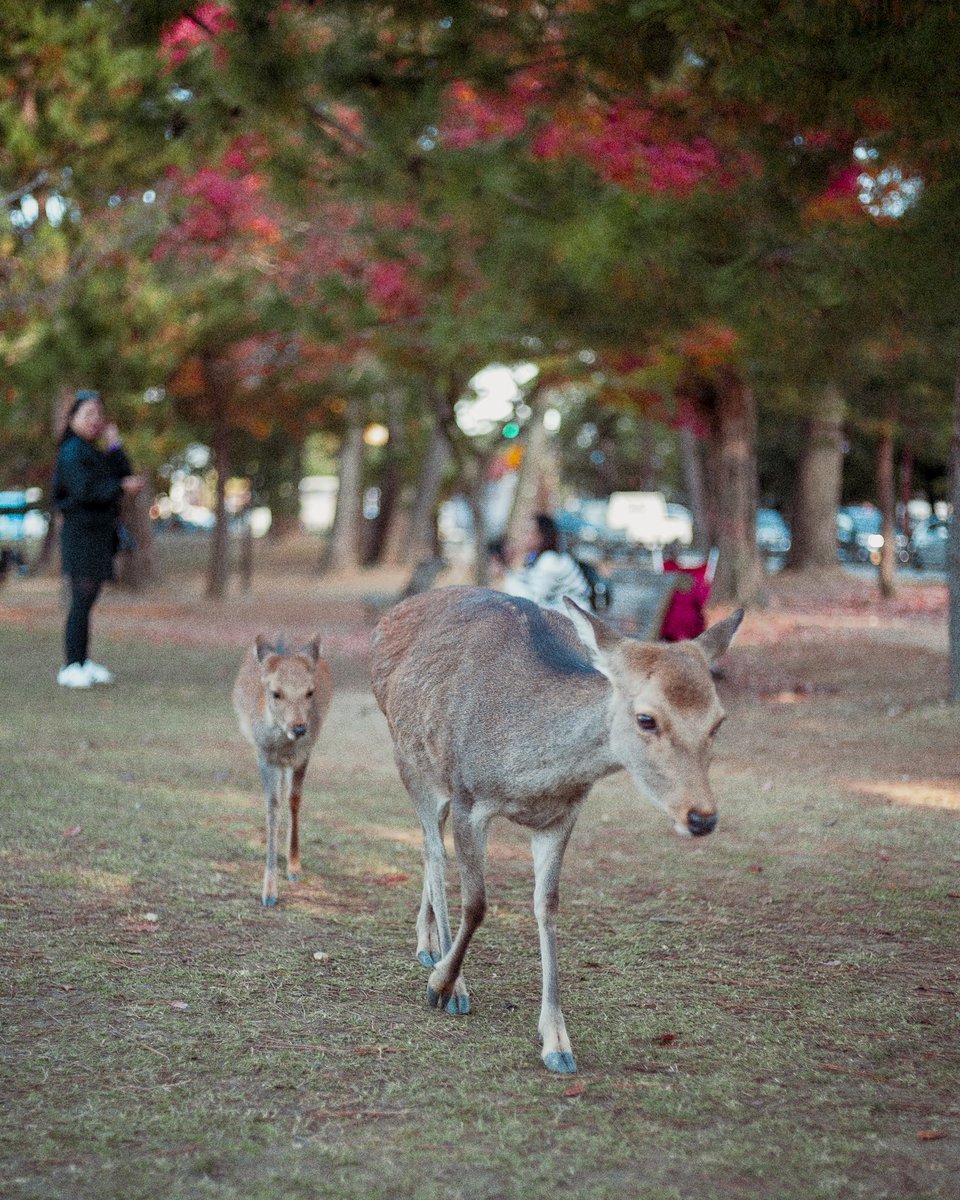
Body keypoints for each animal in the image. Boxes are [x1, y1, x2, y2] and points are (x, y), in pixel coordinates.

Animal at [233, 635, 333, 907]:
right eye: (275, 693)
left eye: (310, 691)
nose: (299, 728)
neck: (283, 746)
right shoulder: (264, 756)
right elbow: (272, 807)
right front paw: (268, 892)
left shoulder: (304, 754)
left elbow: (294, 799)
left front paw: (294, 867)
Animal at [369, 586, 742, 1074]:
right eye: (646, 718)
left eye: (718, 721)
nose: (702, 817)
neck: (530, 774)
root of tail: (392, 614)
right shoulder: (470, 798)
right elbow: (477, 903)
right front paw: (444, 987)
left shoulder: (561, 816)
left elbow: (547, 906)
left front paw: (557, 1041)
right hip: (409, 758)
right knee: (433, 849)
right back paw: (439, 960)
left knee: (428, 847)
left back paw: (428, 943)